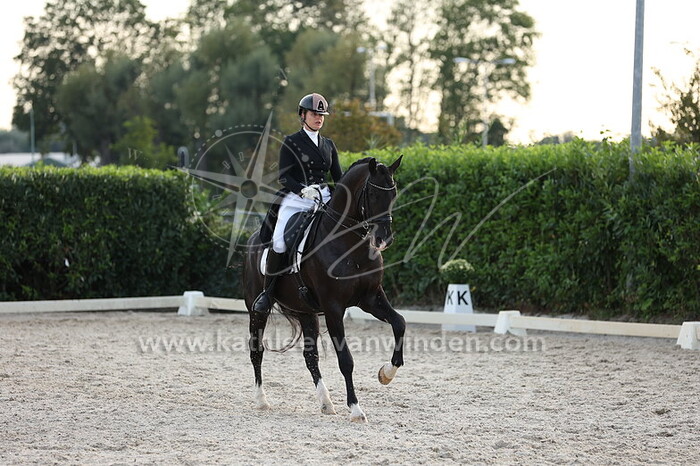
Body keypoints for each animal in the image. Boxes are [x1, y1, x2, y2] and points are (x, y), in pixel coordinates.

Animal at [243, 155, 405, 423]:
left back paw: (326, 403)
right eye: (372, 194)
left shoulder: (371, 298)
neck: (350, 243)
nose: (384, 239)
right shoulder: (333, 308)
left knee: (311, 357)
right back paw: (261, 400)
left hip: (305, 312)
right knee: (257, 348)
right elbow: (346, 360)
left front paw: (386, 373)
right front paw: (356, 409)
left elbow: (399, 323)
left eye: (393, 194)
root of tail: (254, 238)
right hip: (256, 309)